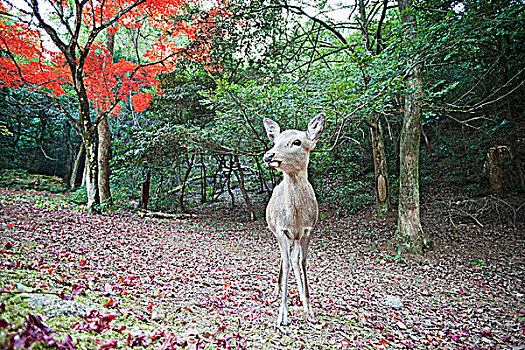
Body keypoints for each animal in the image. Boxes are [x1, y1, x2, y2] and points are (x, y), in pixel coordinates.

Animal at [262, 113, 324, 326]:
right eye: (274, 141)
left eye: (297, 141)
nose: (268, 156)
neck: (295, 218)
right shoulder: (281, 230)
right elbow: (287, 262)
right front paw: (282, 316)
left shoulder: (307, 230)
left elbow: (303, 262)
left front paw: (309, 308)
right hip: (277, 232)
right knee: (285, 258)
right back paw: (276, 290)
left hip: (295, 238)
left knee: (295, 259)